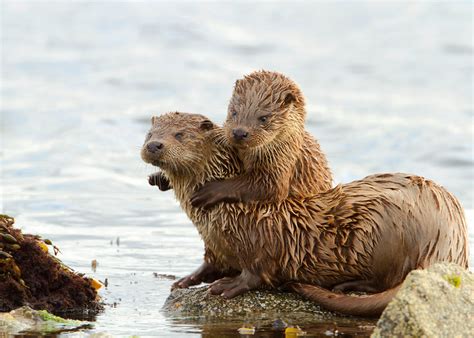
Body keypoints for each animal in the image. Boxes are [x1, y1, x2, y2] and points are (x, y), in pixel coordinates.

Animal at [140, 112, 466, 316]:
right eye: (150, 131)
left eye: (180, 134)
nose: (154, 144)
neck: (225, 215)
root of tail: (448, 244)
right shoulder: (215, 245)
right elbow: (209, 264)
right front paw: (186, 279)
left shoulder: (262, 238)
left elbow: (257, 271)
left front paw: (228, 286)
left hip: (388, 233)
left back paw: (349, 285)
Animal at [191, 70, 332, 210]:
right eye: (234, 112)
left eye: (263, 118)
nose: (239, 133)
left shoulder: (282, 163)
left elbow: (269, 187)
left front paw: (209, 191)